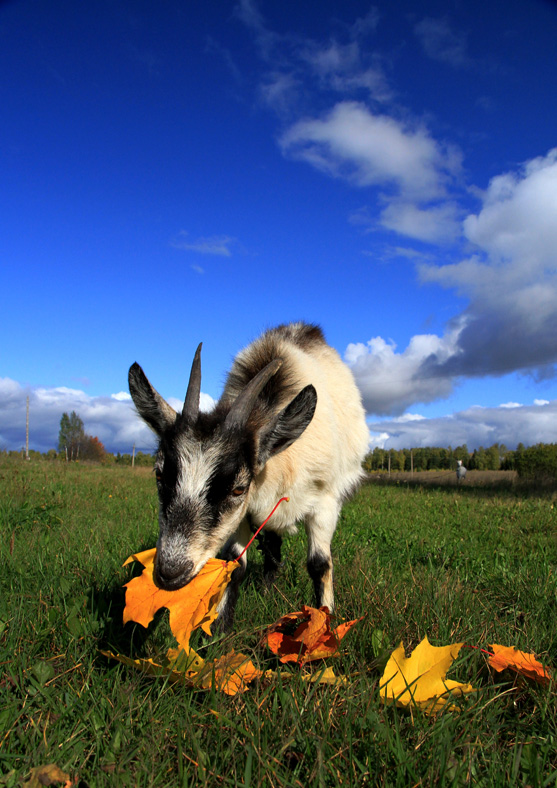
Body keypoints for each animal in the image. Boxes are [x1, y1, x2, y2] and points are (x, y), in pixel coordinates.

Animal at [127, 320, 368, 628]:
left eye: (237, 488)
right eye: (160, 475)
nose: (170, 571)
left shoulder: (325, 501)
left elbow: (319, 564)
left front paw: (324, 625)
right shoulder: (243, 515)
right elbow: (233, 563)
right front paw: (220, 631)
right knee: (272, 546)